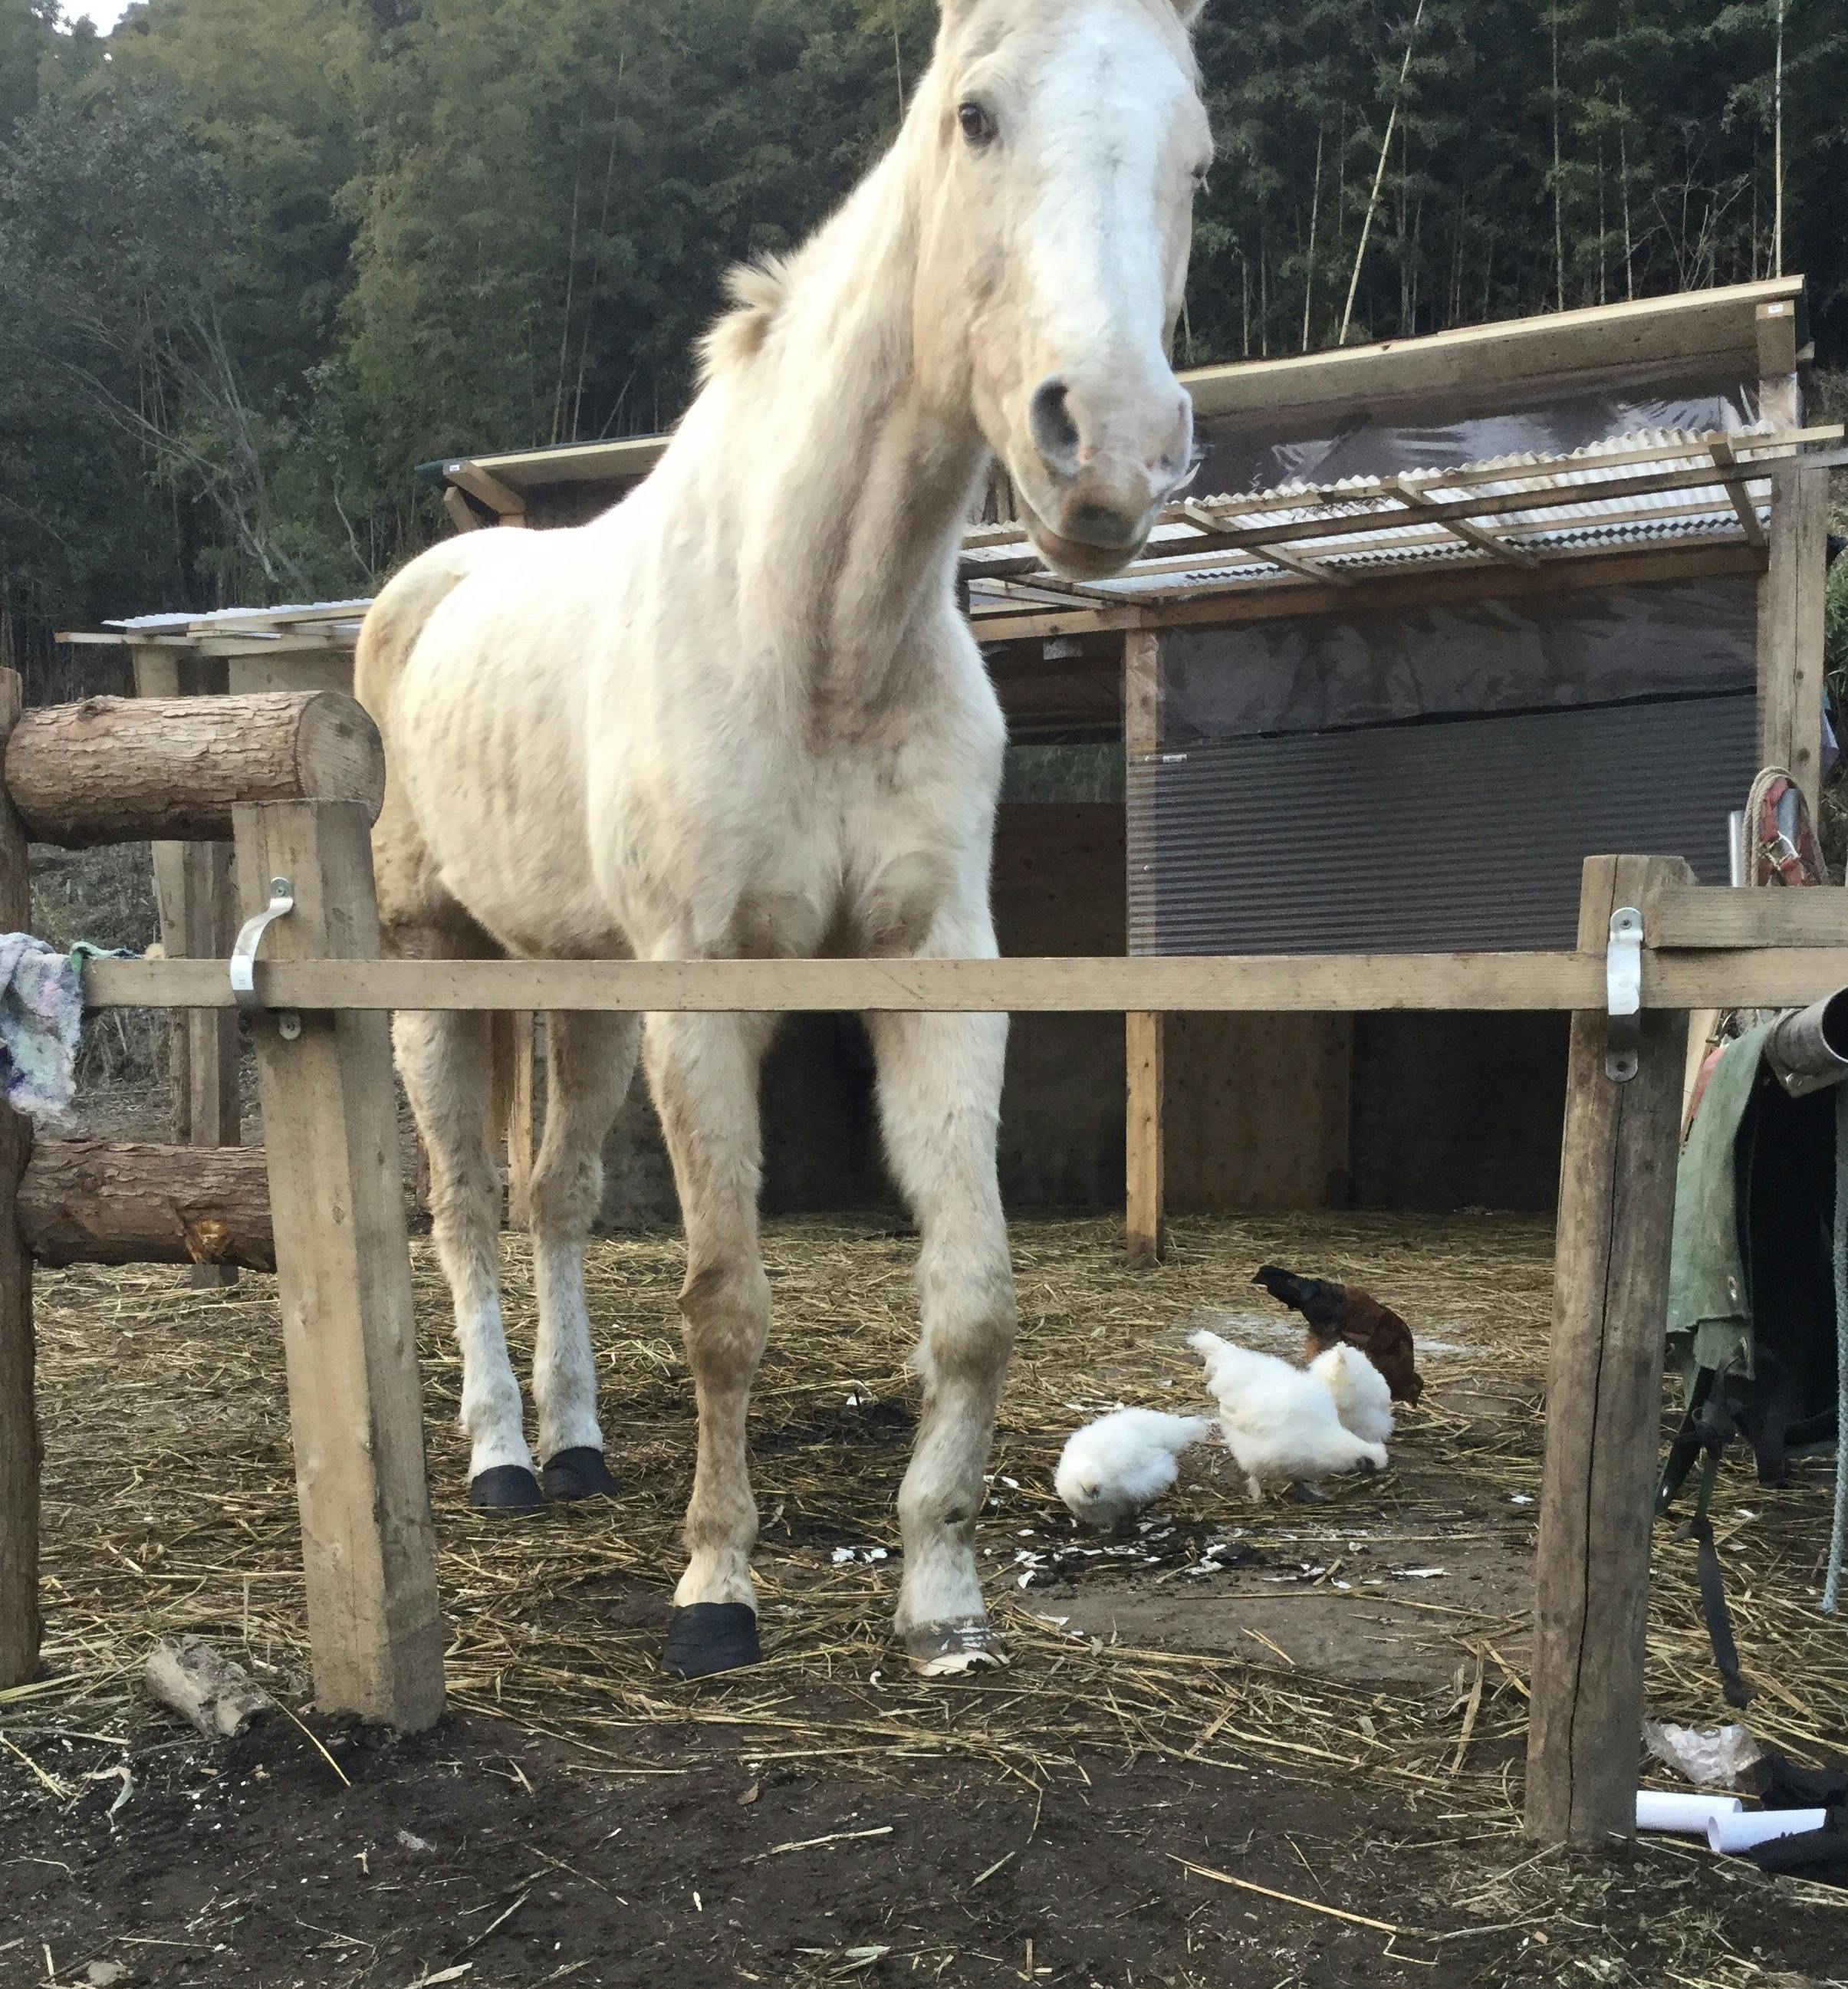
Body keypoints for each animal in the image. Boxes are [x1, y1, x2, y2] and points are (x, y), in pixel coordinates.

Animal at [354, 0, 1212, 1681]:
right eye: (973, 117)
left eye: (1197, 154)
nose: (1111, 453)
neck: (814, 627)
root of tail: (422, 596)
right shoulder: (702, 991)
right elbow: (723, 1302)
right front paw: (715, 1590)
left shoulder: (933, 971)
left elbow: (972, 1298)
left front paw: (941, 1598)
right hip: (439, 963)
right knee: (470, 1208)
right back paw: (501, 1459)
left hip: (580, 992)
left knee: (554, 1195)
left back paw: (577, 1446)